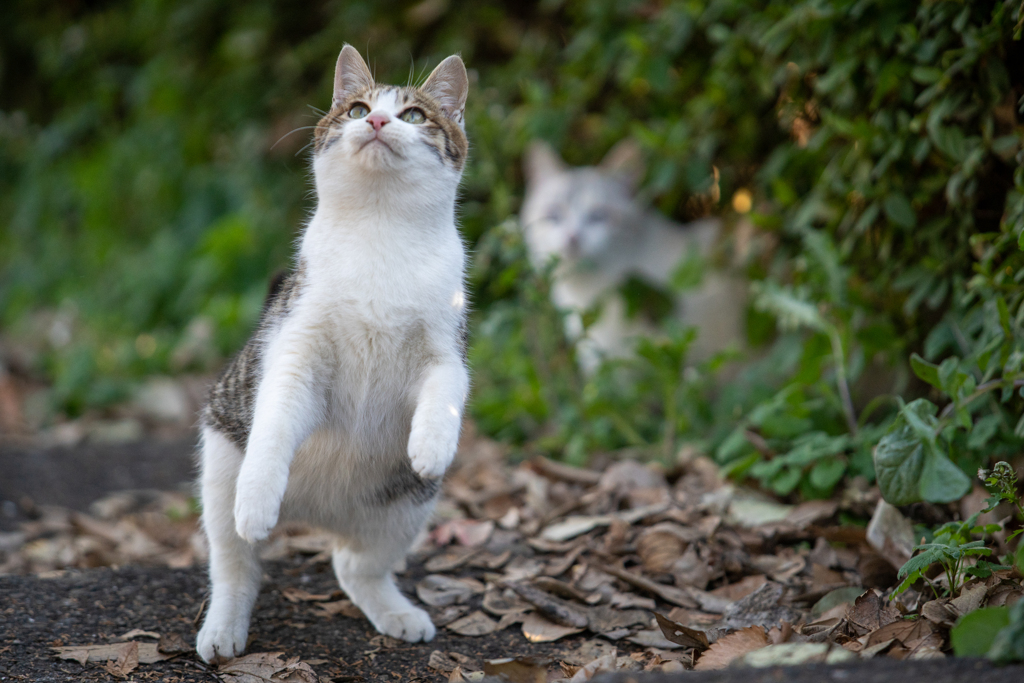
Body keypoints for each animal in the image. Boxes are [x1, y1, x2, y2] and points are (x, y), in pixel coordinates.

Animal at [193, 46, 468, 663]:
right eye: (358, 107)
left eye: (415, 115)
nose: (378, 121)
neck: (379, 231)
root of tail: (318, 513)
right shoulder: (295, 345)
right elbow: (275, 418)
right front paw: (258, 496)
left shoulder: (448, 345)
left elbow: (446, 390)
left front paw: (432, 444)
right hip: (219, 465)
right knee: (235, 565)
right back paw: (224, 626)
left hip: (406, 508)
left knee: (354, 565)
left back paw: (395, 611)